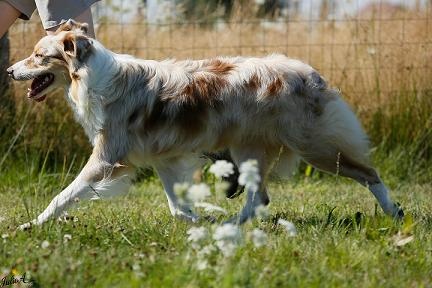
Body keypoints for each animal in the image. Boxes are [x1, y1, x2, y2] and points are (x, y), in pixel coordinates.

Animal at [6, 19, 404, 228]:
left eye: (39, 56)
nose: (9, 71)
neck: (92, 75)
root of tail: (311, 73)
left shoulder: (106, 158)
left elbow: (62, 195)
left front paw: (32, 225)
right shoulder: (164, 158)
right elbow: (176, 204)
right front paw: (194, 225)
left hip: (315, 146)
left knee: (369, 173)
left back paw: (394, 212)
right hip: (249, 149)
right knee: (259, 196)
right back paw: (232, 227)